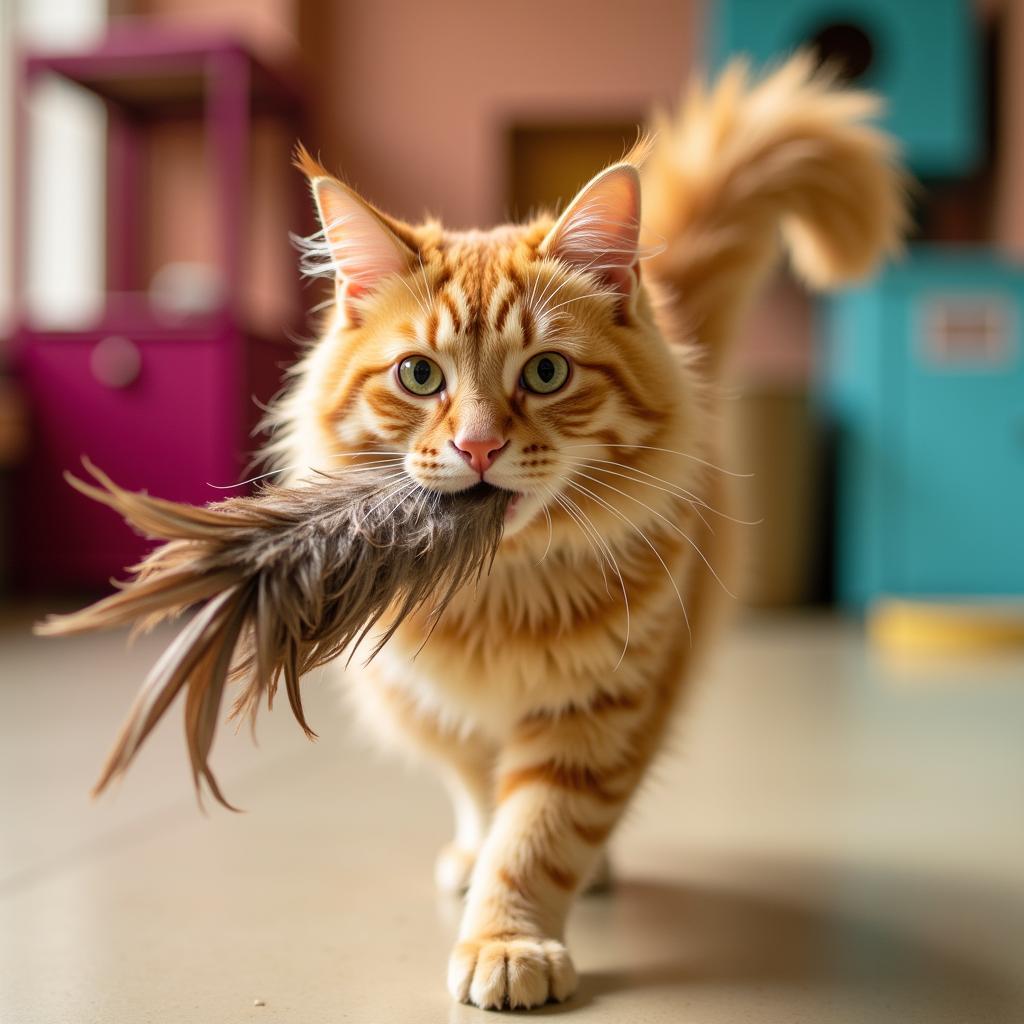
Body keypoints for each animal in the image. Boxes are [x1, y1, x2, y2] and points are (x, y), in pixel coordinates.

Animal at [270, 59, 905, 1011]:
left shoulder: (600, 711)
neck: (494, 592)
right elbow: (483, 794)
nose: (478, 446)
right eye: (419, 376)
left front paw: (507, 941)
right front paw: (486, 888)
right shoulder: (440, 701)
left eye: (545, 373)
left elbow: (538, 835)